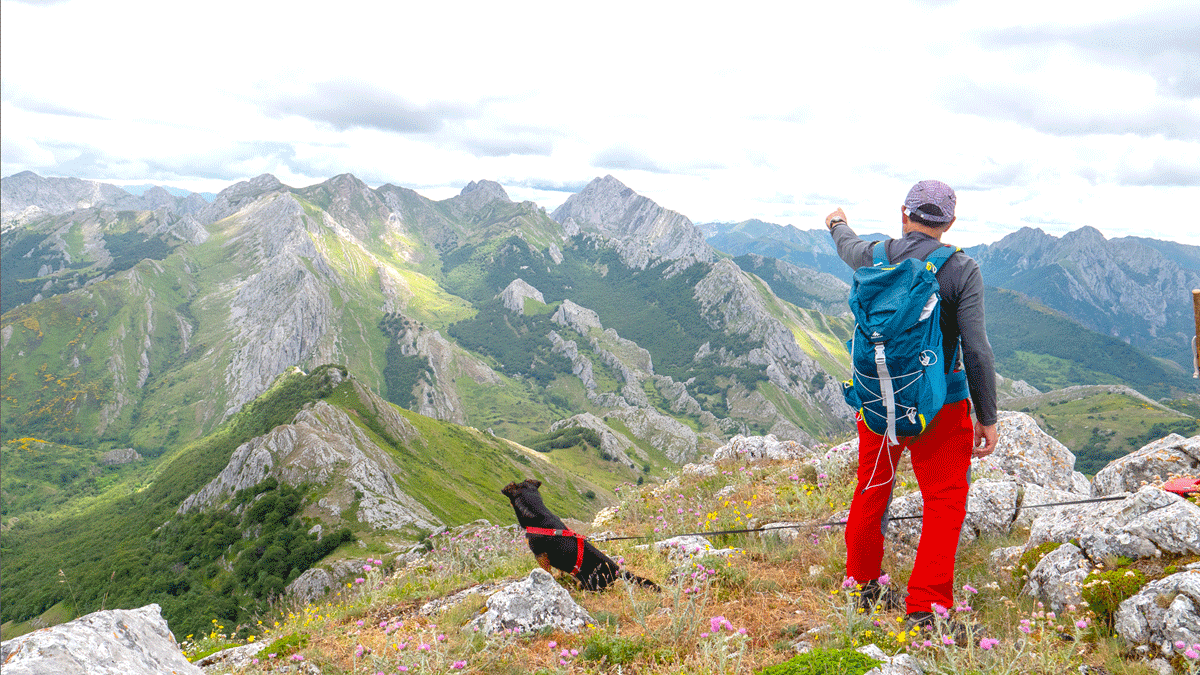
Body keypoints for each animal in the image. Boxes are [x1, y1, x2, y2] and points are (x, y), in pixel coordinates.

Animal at [501, 478, 662, 588]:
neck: (538, 513)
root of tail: (617, 569)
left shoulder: (540, 555)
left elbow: (548, 572)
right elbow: (559, 572)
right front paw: (559, 577)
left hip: (588, 581)